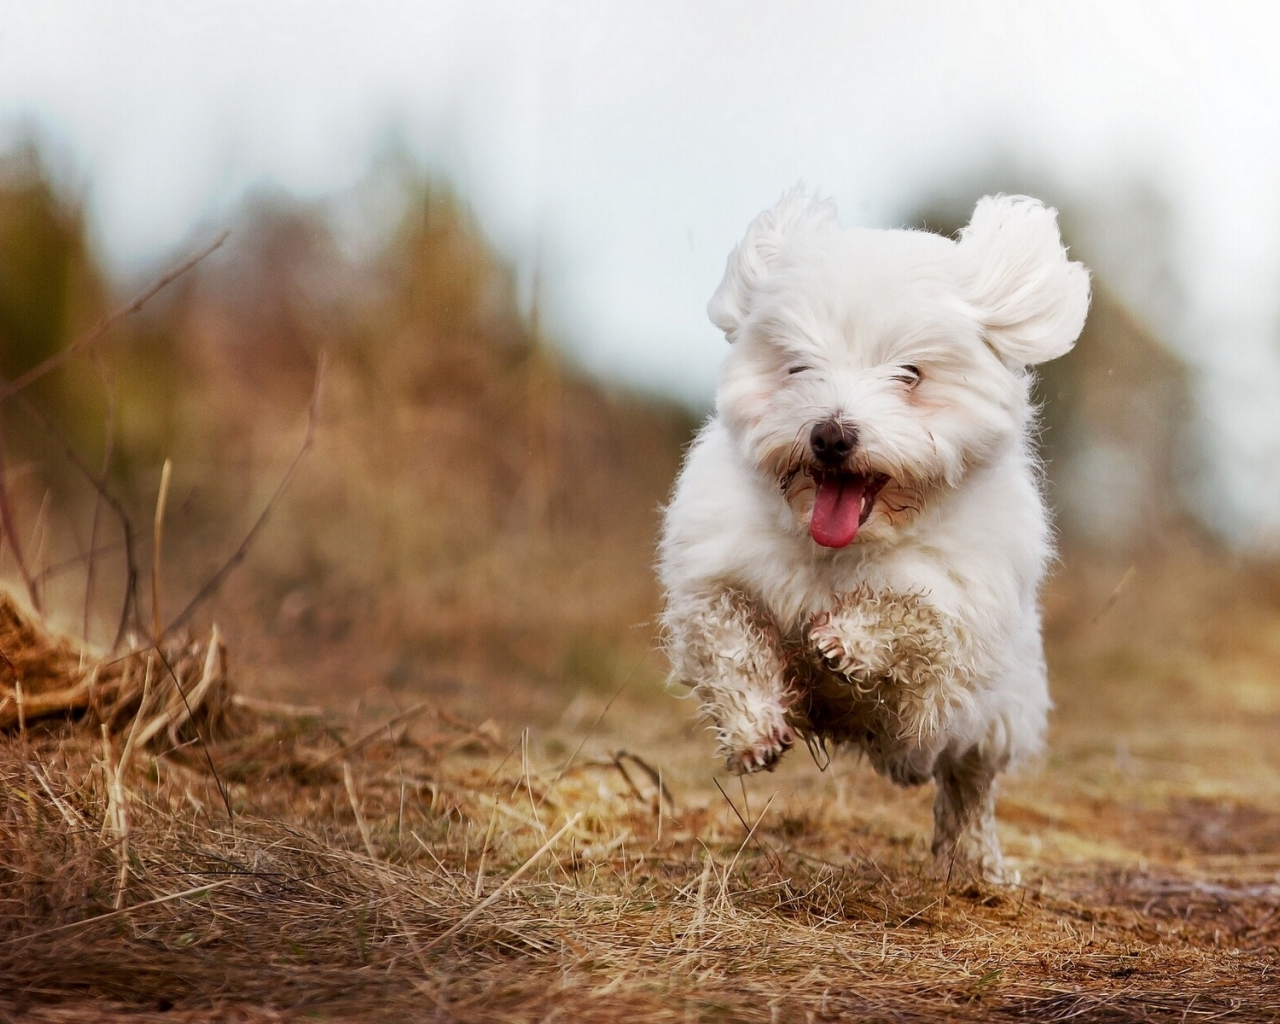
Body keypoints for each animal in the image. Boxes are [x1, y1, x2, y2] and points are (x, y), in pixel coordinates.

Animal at [660, 192, 1090, 880]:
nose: (831, 434)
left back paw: (976, 864)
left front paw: (845, 642)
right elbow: (729, 639)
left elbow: (913, 619)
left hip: (999, 715)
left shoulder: (957, 613)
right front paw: (754, 729)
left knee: (969, 787)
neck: (844, 548)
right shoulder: (715, 572)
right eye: (797, 365)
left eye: (910, 374)